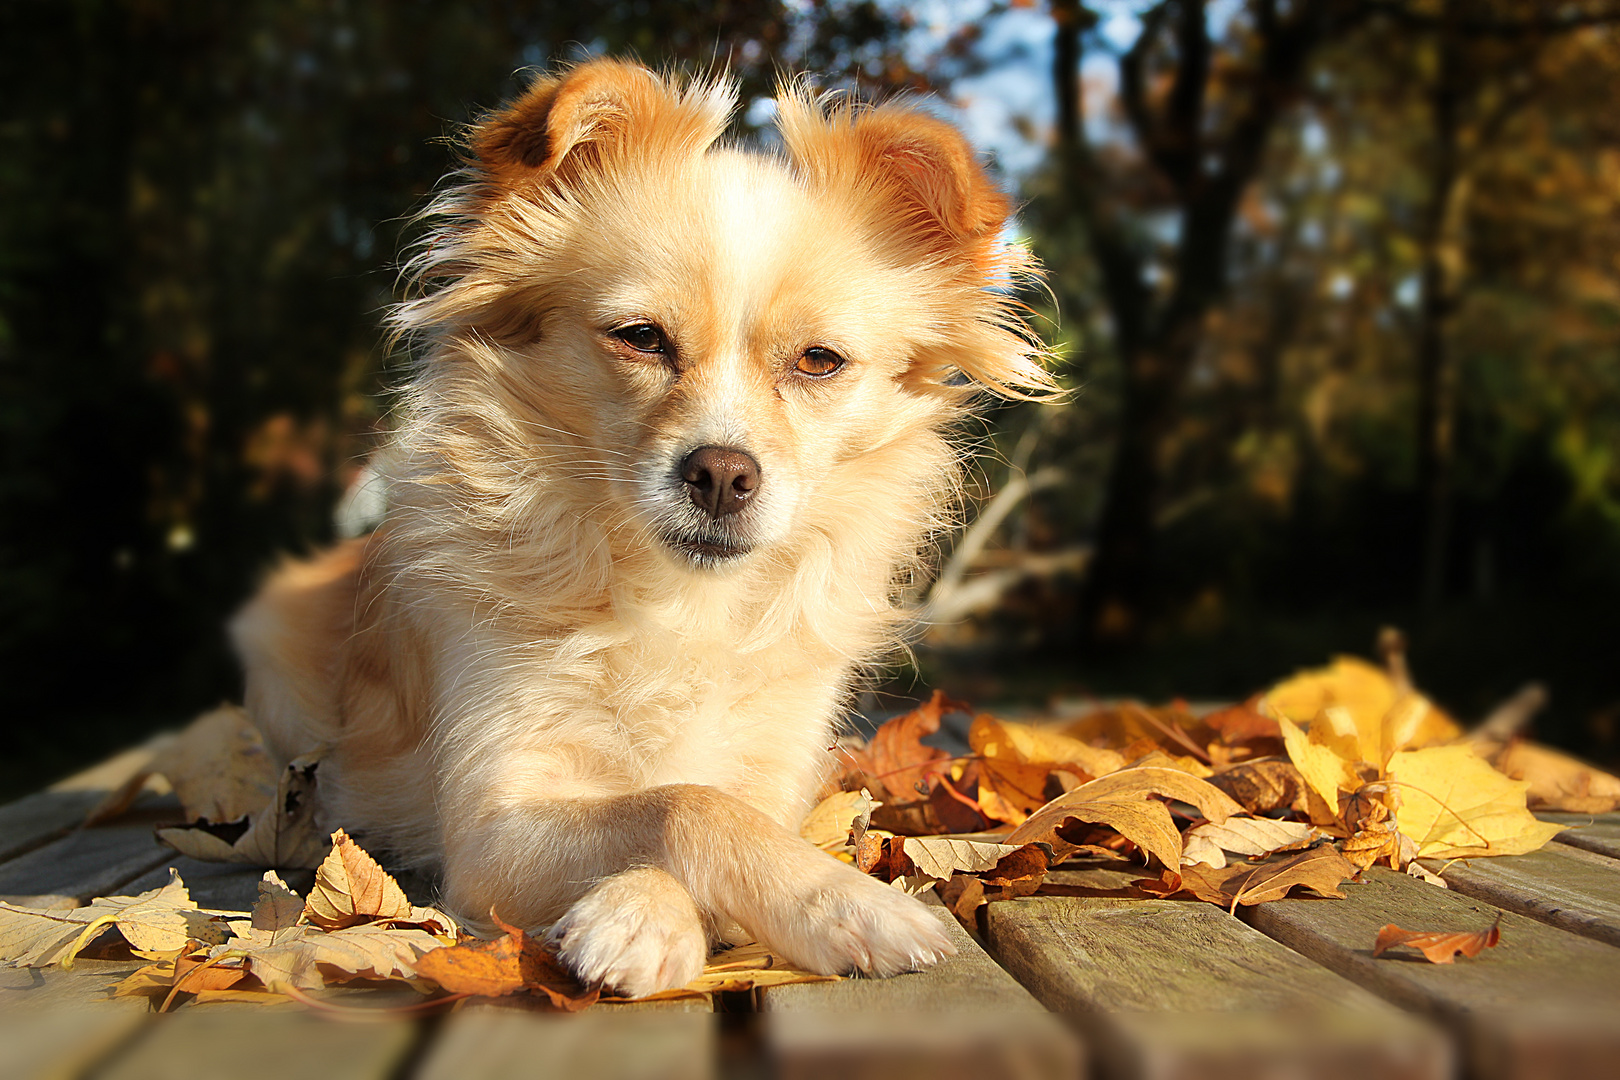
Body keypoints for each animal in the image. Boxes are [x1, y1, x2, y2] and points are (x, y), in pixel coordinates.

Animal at [234, 57, 1056, 997]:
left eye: (819, 362)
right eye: (640, 337)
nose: (722, 472)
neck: (681, 598)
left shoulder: (774, 778)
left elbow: (717, 804)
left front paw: (720, 903)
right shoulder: (491, 826)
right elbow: (680, 805)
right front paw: (832, 902)